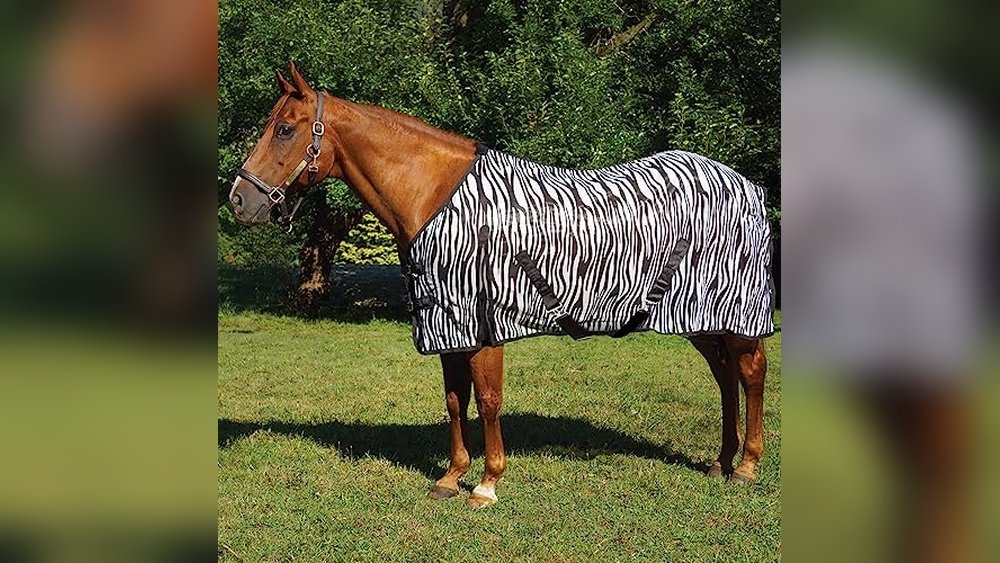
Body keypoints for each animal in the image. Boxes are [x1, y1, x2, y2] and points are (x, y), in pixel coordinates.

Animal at [229, 63, 771, 508]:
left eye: (284, 129)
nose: (238, 200)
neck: (435, 196)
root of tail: (746, 184)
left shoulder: (484, 325)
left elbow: (488, 401)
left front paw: (487, 484)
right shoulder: (447, 326)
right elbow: (455, 400)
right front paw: (451, 478)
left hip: (734, 315)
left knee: (750, 373)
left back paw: (746, 466)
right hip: (699, 318)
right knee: (725, 378)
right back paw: (720, 462)